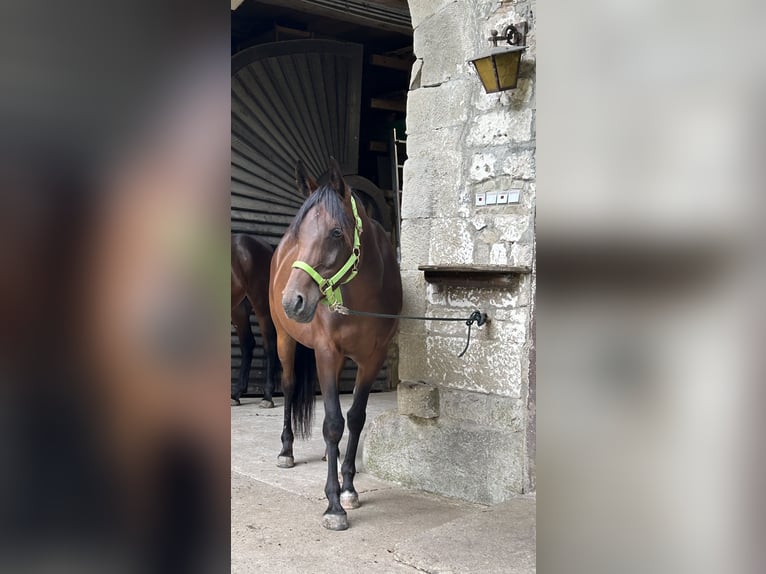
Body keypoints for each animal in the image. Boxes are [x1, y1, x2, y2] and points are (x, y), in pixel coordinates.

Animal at [234, 235, 282, 410]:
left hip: (262, 306)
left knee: (270, 346)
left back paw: (267, 396)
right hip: (239, 309)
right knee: (247, 344)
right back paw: (236, 394)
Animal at [268, 160, 402, 532]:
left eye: (336, 233)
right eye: (299, 234)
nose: (293, 301)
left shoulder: (373, 358)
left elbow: (354, 418)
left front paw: (349, 489)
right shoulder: (326, 353)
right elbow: (331, 423)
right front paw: (333, 505)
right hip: (285, 341)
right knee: (288, 386)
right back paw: (286, 452)